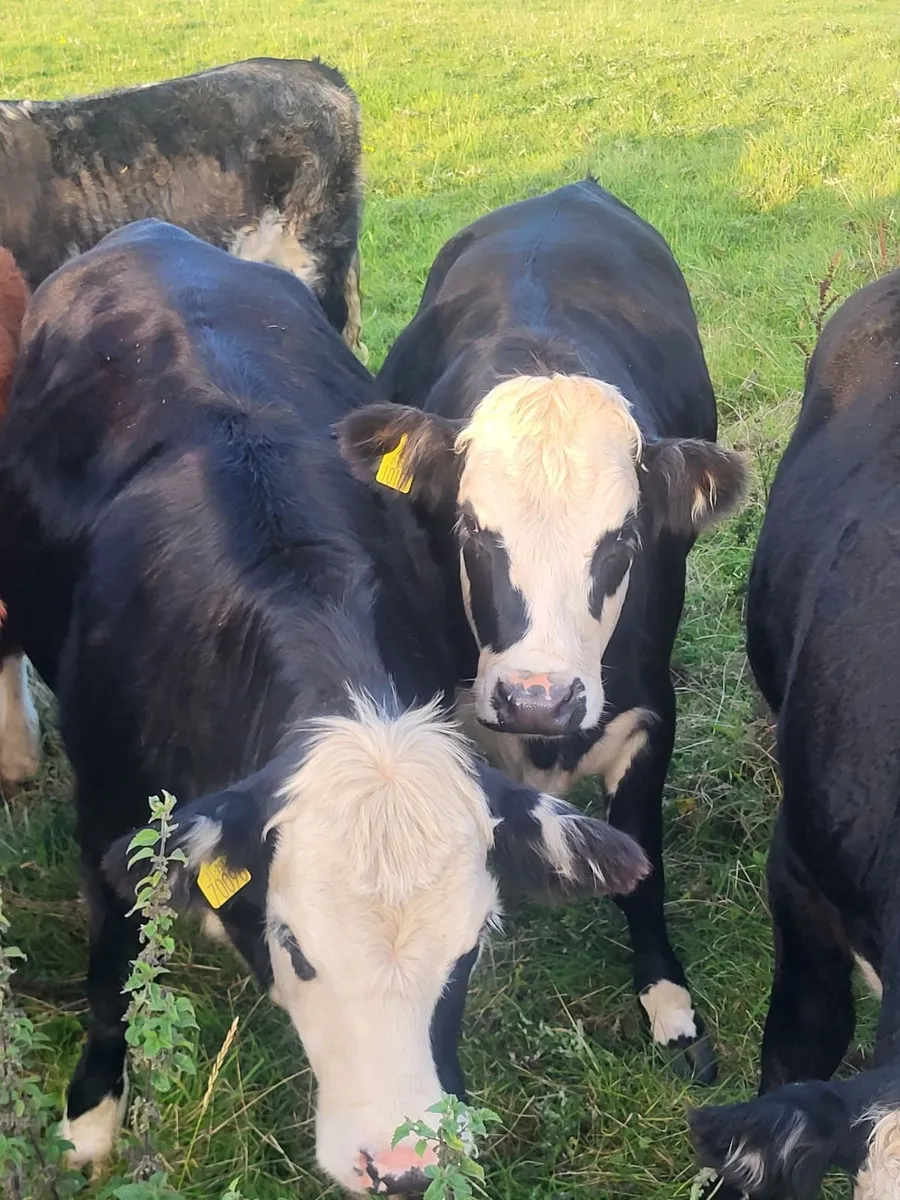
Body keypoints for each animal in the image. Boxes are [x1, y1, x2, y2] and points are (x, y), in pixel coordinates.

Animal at [0, 220, 649, 1194]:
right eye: (296, 945)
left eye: (470, 948)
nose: (405, 1164)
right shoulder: (108, 803)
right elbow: (112, 962)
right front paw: (88, 1121)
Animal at [335, 178, 747, 1084]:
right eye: (471, 531)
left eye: (623, 540)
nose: (537, 697)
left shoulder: (648, 712)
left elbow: (645, 862)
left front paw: (669, 1002)